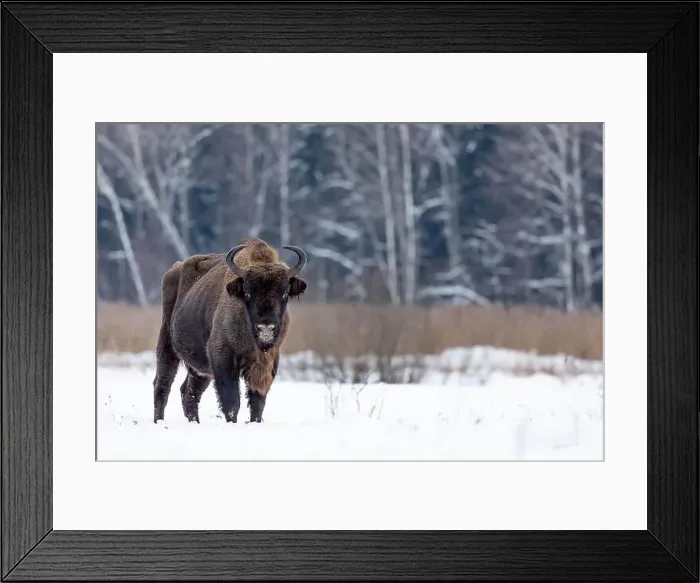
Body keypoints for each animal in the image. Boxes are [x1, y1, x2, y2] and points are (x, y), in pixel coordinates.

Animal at [152, 237, 307, 424]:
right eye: (247, 293)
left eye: (285, 293)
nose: (266, 328)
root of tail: (173, 270)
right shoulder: (223, 359)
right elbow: (232, 402)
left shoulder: (268, 363)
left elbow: (257, 402)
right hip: (167, 345)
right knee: (162, 385)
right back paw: (159, 421)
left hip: (200, 369)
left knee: (189, 392)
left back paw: (194, 421)